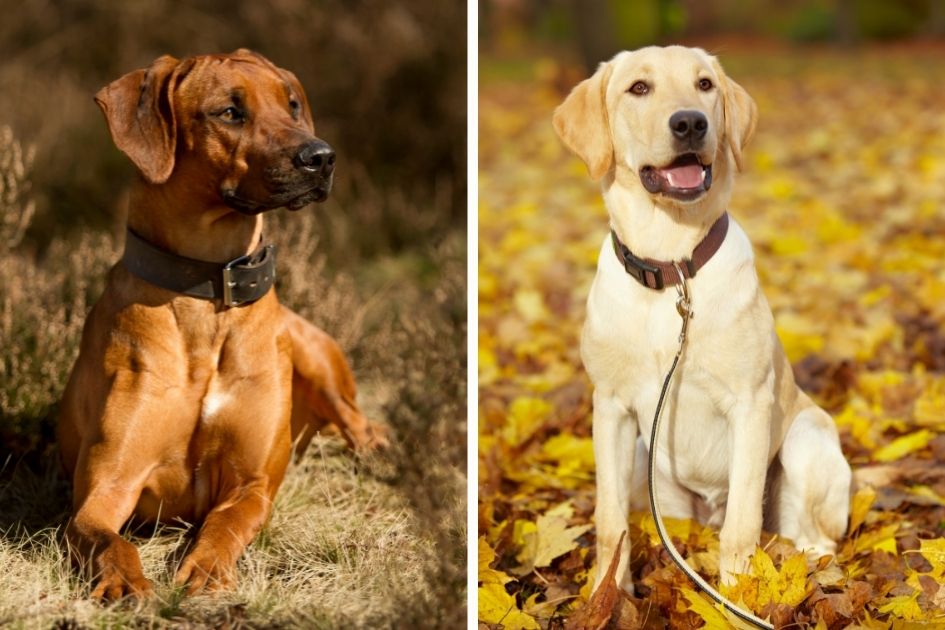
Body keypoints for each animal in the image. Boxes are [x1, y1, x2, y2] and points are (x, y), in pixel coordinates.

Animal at [57, 49, 388, 604]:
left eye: (292, 104)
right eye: (230, 112)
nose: (322, 157)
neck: (207, 293)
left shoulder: (251, 483)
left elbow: (225, 523)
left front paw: (207, 568)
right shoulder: (104, 490)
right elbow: (107, 539)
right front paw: (125, 581)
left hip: (311, 350)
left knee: (353, 417)